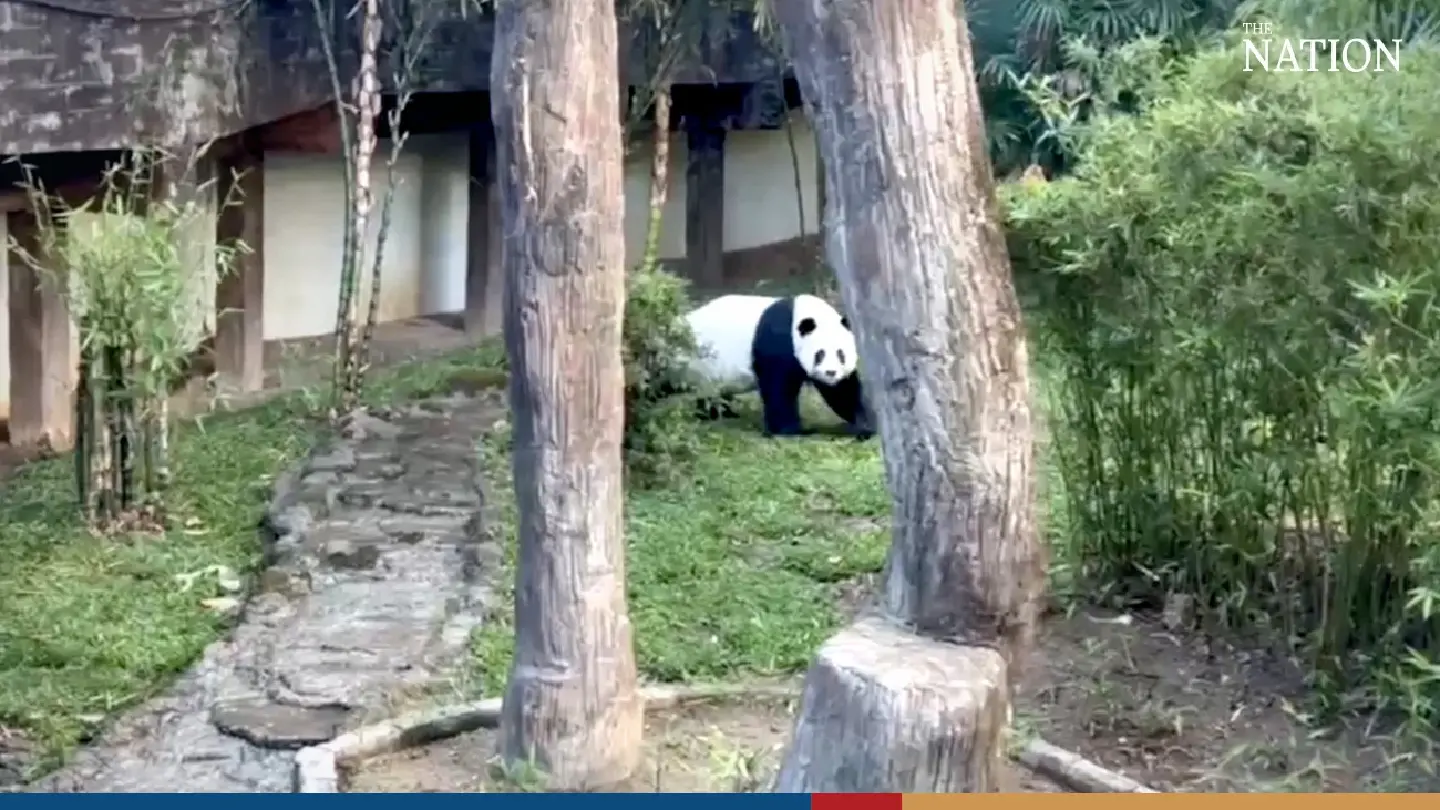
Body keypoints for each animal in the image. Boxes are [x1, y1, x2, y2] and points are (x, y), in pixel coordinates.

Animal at [682, 293, 875, 440]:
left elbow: (841, 392)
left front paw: (864, 425)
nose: (830, 372)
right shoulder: (778, 342)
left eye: (841, 354)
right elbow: (778, 389)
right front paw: (792, 430)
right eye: (819, 354)